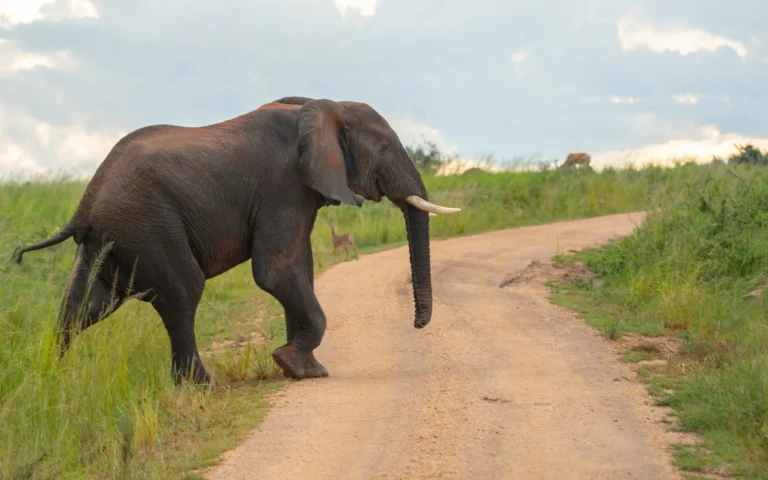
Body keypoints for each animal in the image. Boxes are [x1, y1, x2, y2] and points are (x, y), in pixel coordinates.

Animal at [11, 96, 461, 384]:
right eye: (384, 147)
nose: (417, 324)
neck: (324, 104)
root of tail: (86, 200)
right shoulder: (283, 186)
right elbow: (277, 272)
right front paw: (290, 363)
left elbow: (300, 268)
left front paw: (305, 370)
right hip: (147, 224)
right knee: (182, 292)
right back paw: (203, 386)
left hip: (111, 236)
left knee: (87, 303)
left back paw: (53, 380)